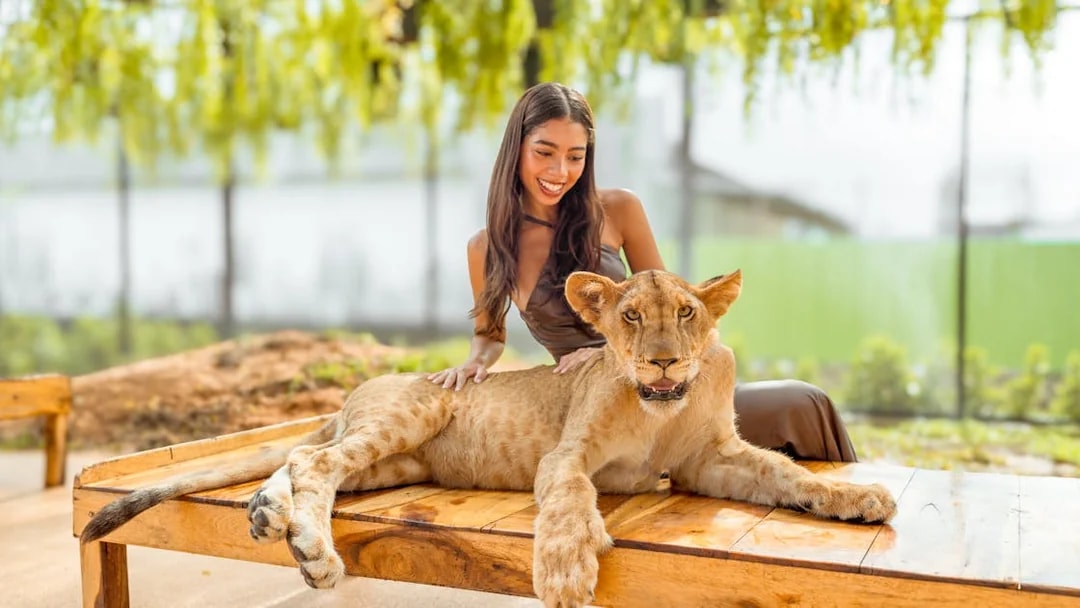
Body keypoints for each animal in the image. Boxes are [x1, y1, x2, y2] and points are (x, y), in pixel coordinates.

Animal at [81, 268, 896, 607]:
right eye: (630, 317)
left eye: (687, 315)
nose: (662, 360)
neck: (661, 407)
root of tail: (354, 392)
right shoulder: (569, 455)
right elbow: (568, 499)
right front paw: (566, 572)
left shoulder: (709, 462)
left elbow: (789, 476)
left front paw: (858, 500)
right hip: (417, 413)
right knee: (313, 456)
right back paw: (311, 550)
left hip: (395, 462)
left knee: (304, 460)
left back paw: (268, 515)